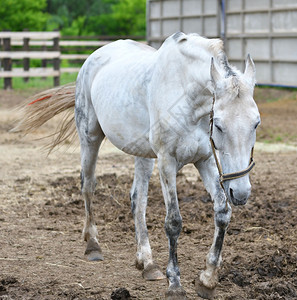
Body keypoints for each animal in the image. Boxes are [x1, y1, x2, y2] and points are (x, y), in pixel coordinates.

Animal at [16, 31, 260, 298]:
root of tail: (93, 57)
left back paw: (147, 262)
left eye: (256, 123)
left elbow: (222, 212)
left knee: (137, 200)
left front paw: (207, 279)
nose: (241, 192)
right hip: (90, 137)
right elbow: (173, 222)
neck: (186, 93)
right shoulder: (167, 161)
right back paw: (93, 246)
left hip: (142, 155)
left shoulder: (204, 160)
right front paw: (175, 284)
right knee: (88, 185)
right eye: (219, 125)